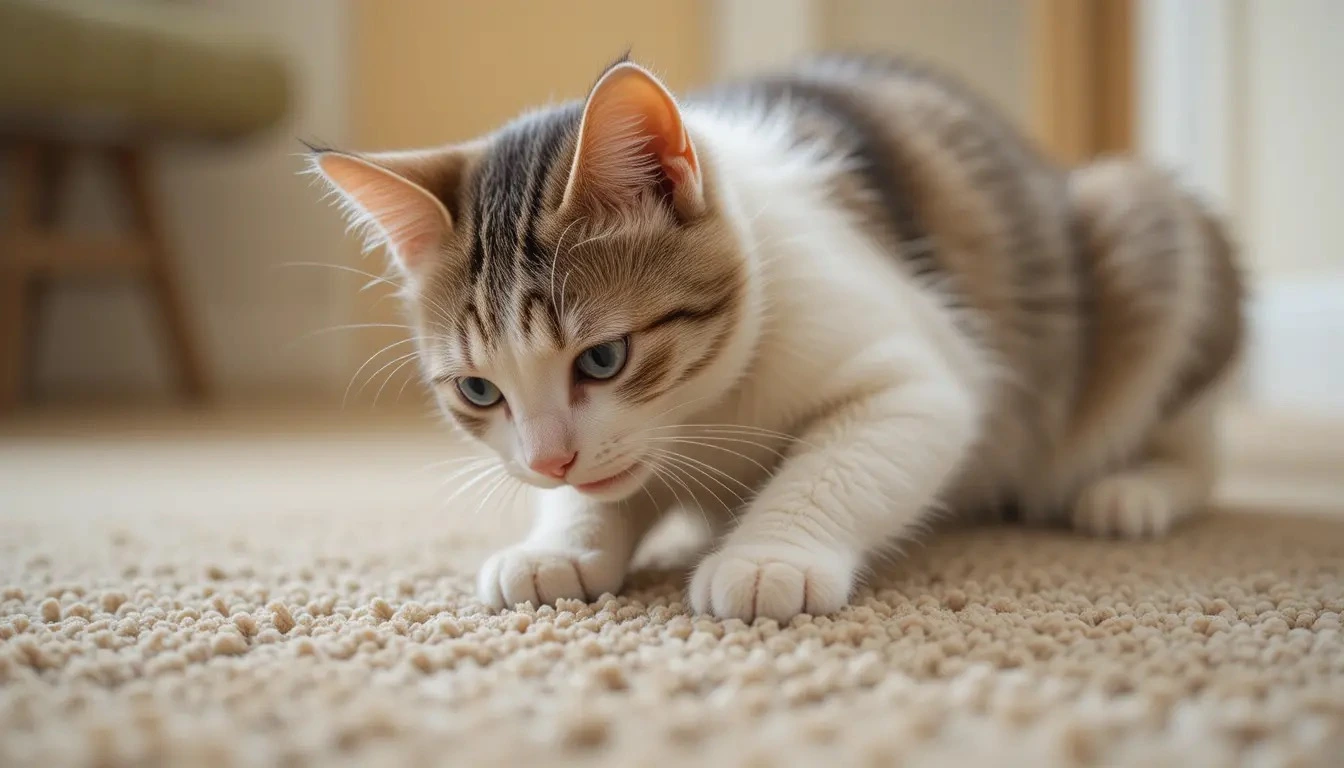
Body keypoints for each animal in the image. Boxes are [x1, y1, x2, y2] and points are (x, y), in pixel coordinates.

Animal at [309, 54, 1241, 621]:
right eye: (480, 390)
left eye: (603, 359)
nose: (549, 458)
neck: (708, 409)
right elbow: (604, 493)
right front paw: (560, 544)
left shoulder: (920, 378)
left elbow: (843, 462)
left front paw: (767, 557)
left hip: (1137, 229)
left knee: (1188, 440)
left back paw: (1135, 489)